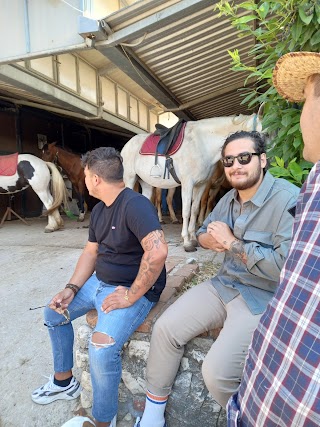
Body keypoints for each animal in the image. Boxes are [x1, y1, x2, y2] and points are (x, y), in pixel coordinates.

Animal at [121, 114, 262, 254]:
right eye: (259, 133)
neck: (201, 143)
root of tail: (126, 146)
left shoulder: (201, 185)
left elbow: (194, 210)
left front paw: (193, 238)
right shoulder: (188, 184)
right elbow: (186, 212)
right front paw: (187, 242)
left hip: (146, 183)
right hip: (130, 178)